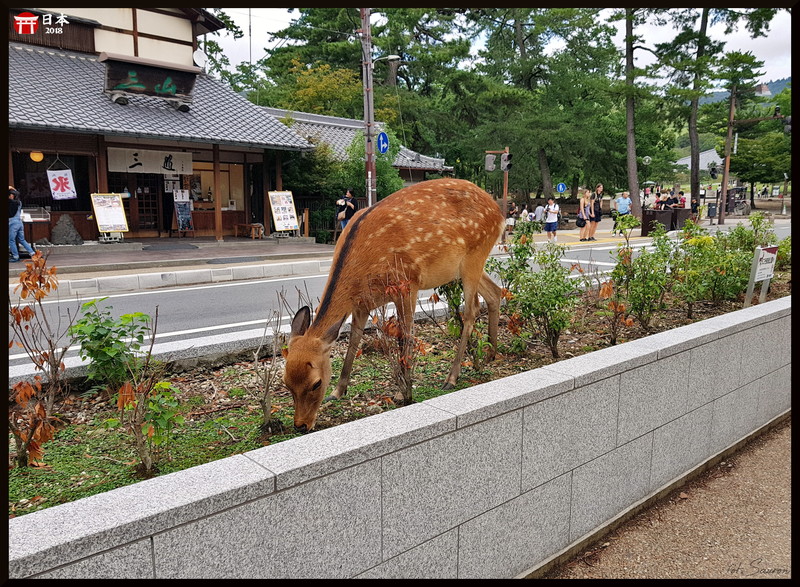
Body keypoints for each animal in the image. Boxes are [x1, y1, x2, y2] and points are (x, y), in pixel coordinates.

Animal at [284, 179, 504, 432]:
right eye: (286, 383)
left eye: (316, 383)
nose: (301, 425)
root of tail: (499, 213)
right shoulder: (362, 304)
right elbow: (353, 341)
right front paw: (338, 391)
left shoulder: (407, 284)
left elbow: (405, 336)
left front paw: (404, 392)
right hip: (465, 266)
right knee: (495, 293)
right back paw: (490, 355)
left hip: (475, 254)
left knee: (471, 311)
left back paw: (452, 377)